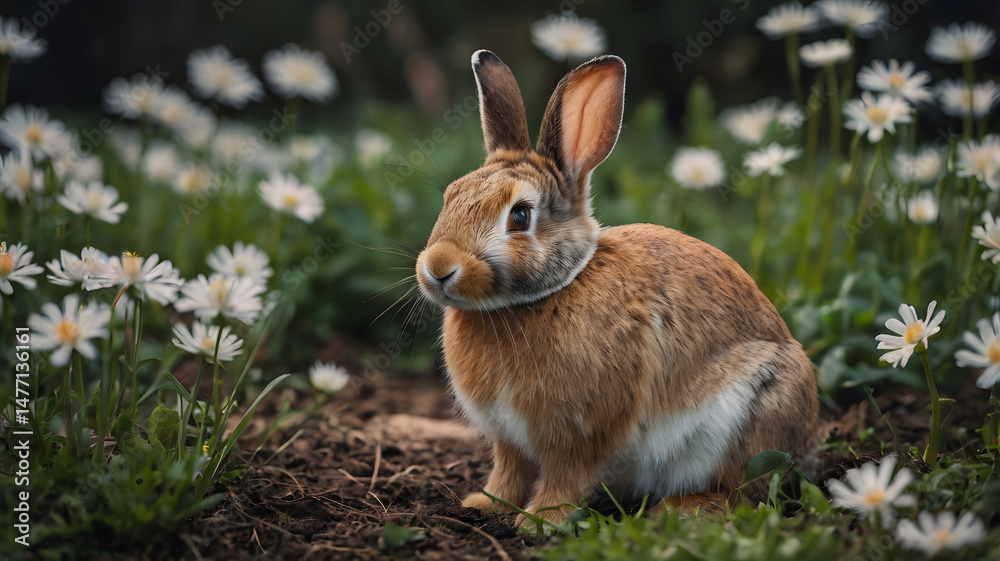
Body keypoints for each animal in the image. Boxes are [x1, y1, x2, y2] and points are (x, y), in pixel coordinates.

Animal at [415, 50, 821, 527]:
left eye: (520, 216)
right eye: (450, 196)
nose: (438, 268)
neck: (537, 298)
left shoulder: (581, 431)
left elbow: (567, 476)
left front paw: (541, 522)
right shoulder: (508, 437)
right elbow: (508, 471)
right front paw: (482, 504)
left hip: (750, 417)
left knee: (744, 493)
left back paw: (682, 508)